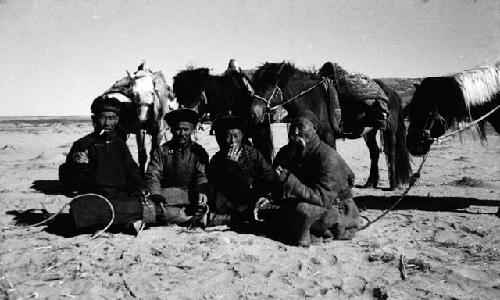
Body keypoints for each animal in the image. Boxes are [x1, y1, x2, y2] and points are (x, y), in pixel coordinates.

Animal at [252, 62, 412, 190]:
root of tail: (391, 93)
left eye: (270, 84)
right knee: (374, 152)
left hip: (390, 130)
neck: (313, 100)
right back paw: (370, 182)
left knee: (391, 152)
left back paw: (393, 185)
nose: (254, 113)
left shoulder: (328, 135)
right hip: (369, 132)